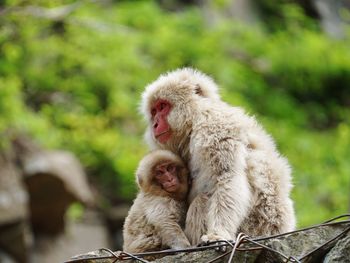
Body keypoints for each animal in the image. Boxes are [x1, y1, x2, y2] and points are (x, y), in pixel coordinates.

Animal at [139, 68, 296, 248]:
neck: (194, 120)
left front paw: (218, 234)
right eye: (154, 111)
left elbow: (228, 176)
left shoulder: (215, 127)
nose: (155, 124)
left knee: (202, 201)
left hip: (250, 228)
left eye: (162, 106)